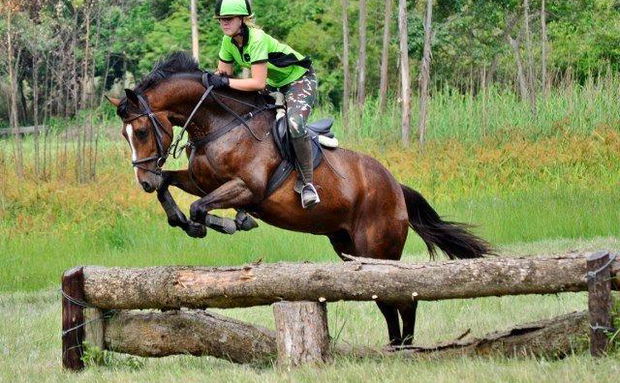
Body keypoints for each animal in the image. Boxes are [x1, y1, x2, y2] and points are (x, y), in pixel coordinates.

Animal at [108, 52, 494, 350]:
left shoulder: (247, 187)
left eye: (140, 131)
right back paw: (395, 347)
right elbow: (172, 189)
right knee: (385, 301)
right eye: (125, 135)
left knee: (404, 299)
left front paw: (228, 223)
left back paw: (408, 349)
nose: (143, 181)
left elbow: (201, 208)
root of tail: (395, 187)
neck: (219, 125)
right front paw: (183, 221)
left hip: (379, 248)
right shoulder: (202, 181)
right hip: (351, 250)